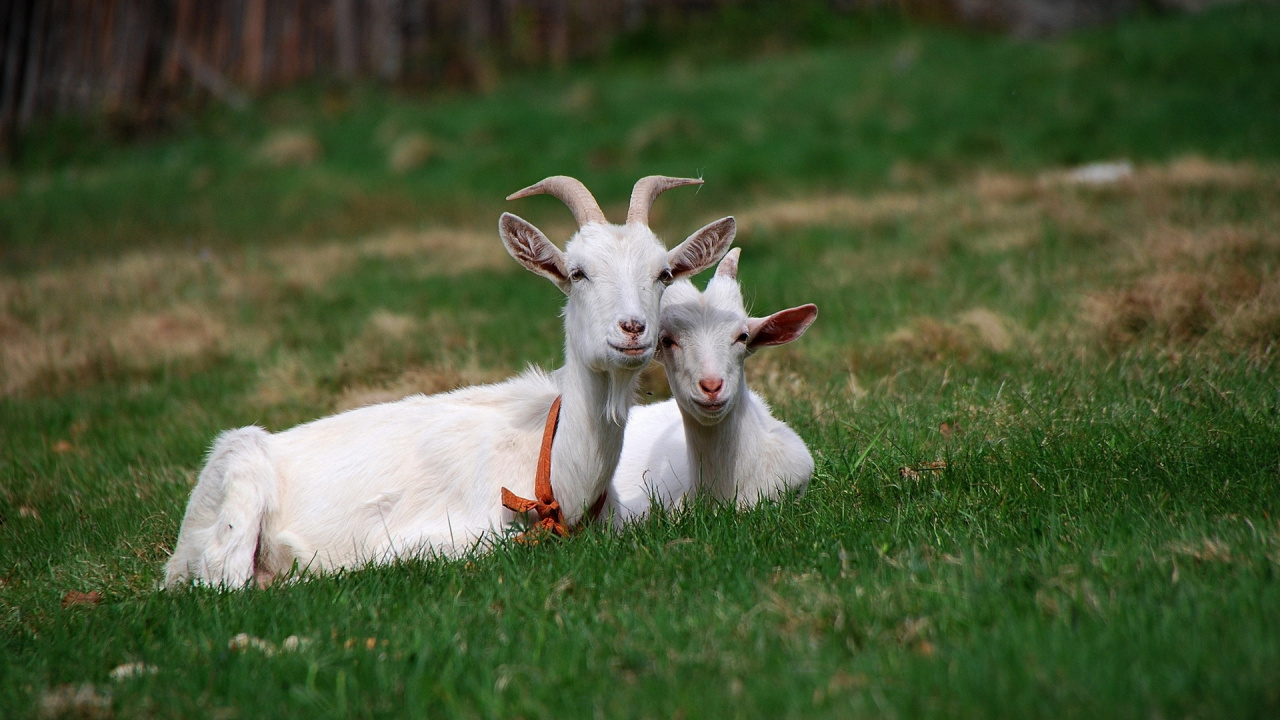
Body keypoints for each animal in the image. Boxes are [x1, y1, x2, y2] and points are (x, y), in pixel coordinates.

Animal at [164, 175, 735, 587]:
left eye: (663, 274)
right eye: (577, 273)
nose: (633, 329)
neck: (553, 467)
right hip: (241, 488)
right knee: (224, 578)